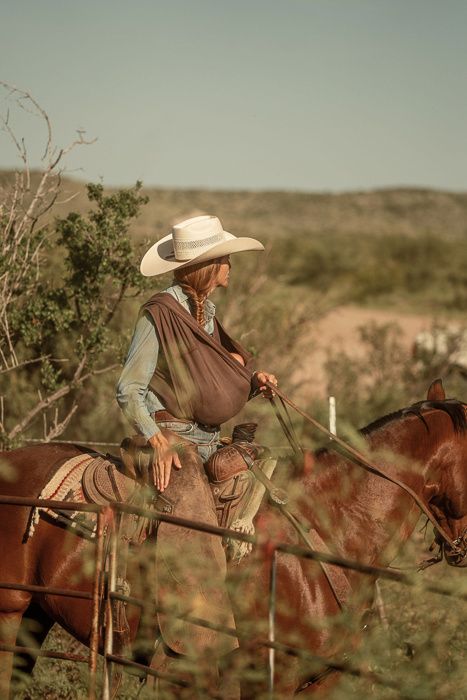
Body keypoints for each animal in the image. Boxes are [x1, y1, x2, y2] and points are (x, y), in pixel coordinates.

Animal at [0, 380, 467, 696]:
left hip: (35, 618)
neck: (323, 534)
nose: (459, 550)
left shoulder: (324, 681)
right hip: (10, 613)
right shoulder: (268, 682)